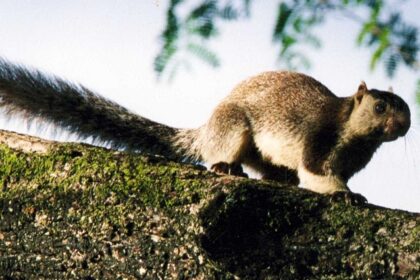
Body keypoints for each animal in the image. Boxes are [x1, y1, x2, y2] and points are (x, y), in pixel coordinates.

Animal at [0, 59, 410, 195]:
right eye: (379, 106)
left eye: (408, 110)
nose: (402, 126)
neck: (358, 140)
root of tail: (205, 130)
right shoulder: (320, 139)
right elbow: (318, 173)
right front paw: (346, 195)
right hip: (233, 129)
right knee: (222, 155)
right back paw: (226, 166)